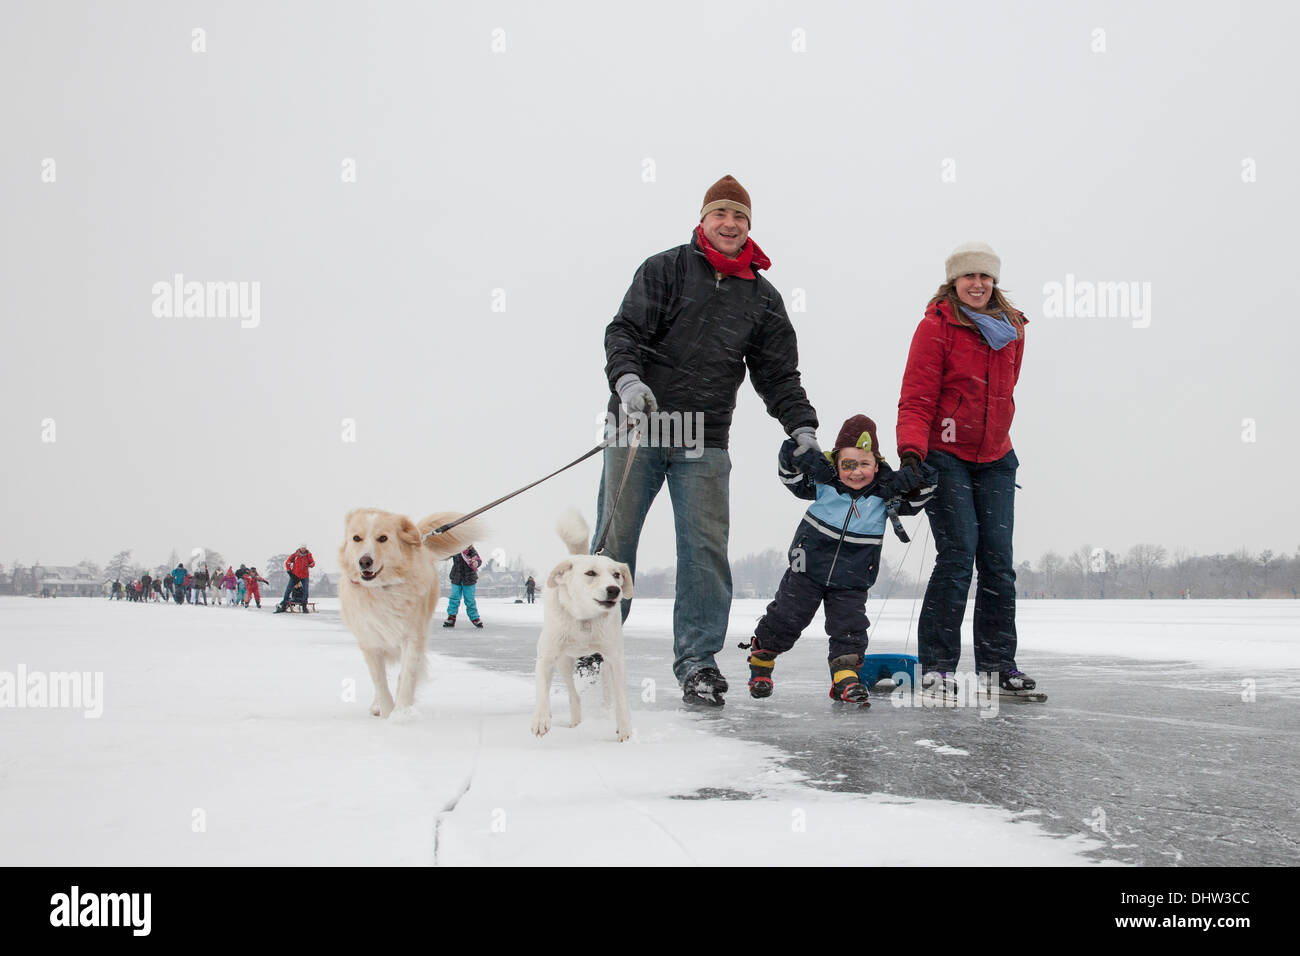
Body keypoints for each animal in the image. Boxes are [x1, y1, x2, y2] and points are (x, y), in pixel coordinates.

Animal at [338, 509, 480, 717]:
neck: (383, 589)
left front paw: (400, 715)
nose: (364, 561)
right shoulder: (370, 641)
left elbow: (406, 677)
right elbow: (380, 682)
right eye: (357, 538)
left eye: (383, 538)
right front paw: (387, 712)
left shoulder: (412, 637)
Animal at [527, 512, 629, 743]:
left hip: (605, 662)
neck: (584, 619)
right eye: (590, 573)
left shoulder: (615, 657)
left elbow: (621, 697)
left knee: (605, 687)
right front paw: (541, 719)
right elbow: (542, 690)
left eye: (617, 574)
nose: (614, 590)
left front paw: (625, 729)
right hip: (564, 662)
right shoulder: (546, 657)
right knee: (573, 695)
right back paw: (574, 721)